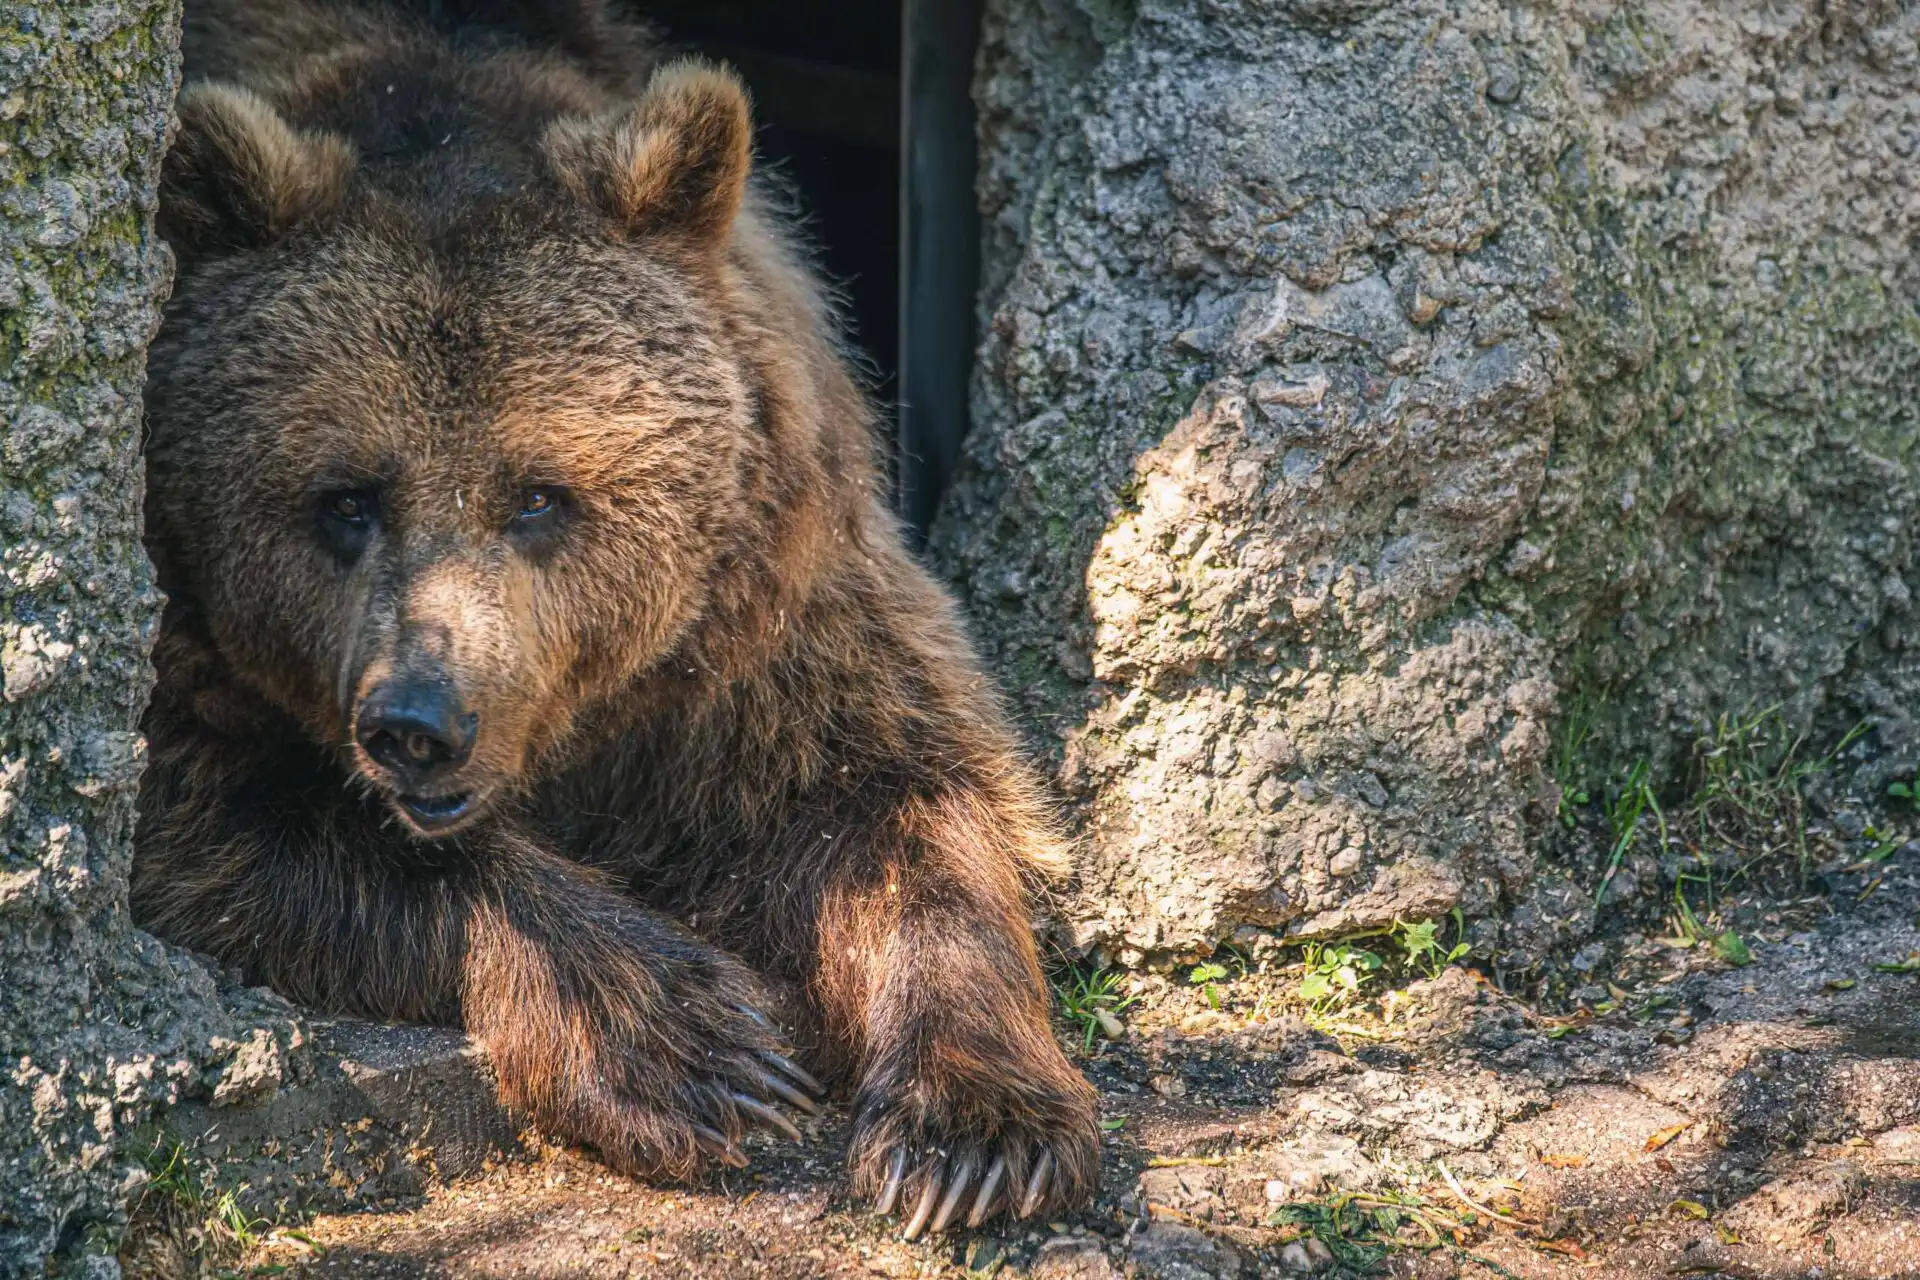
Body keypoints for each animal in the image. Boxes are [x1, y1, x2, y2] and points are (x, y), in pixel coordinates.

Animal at [133, 0, 1099, 1237]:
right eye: (346, 497)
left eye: (539, 494)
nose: (419, 722)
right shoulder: (190, 660)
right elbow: (247, 804)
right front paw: (700, 1047)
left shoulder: (767, 635)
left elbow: (906, 801)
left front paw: (975, 1133)